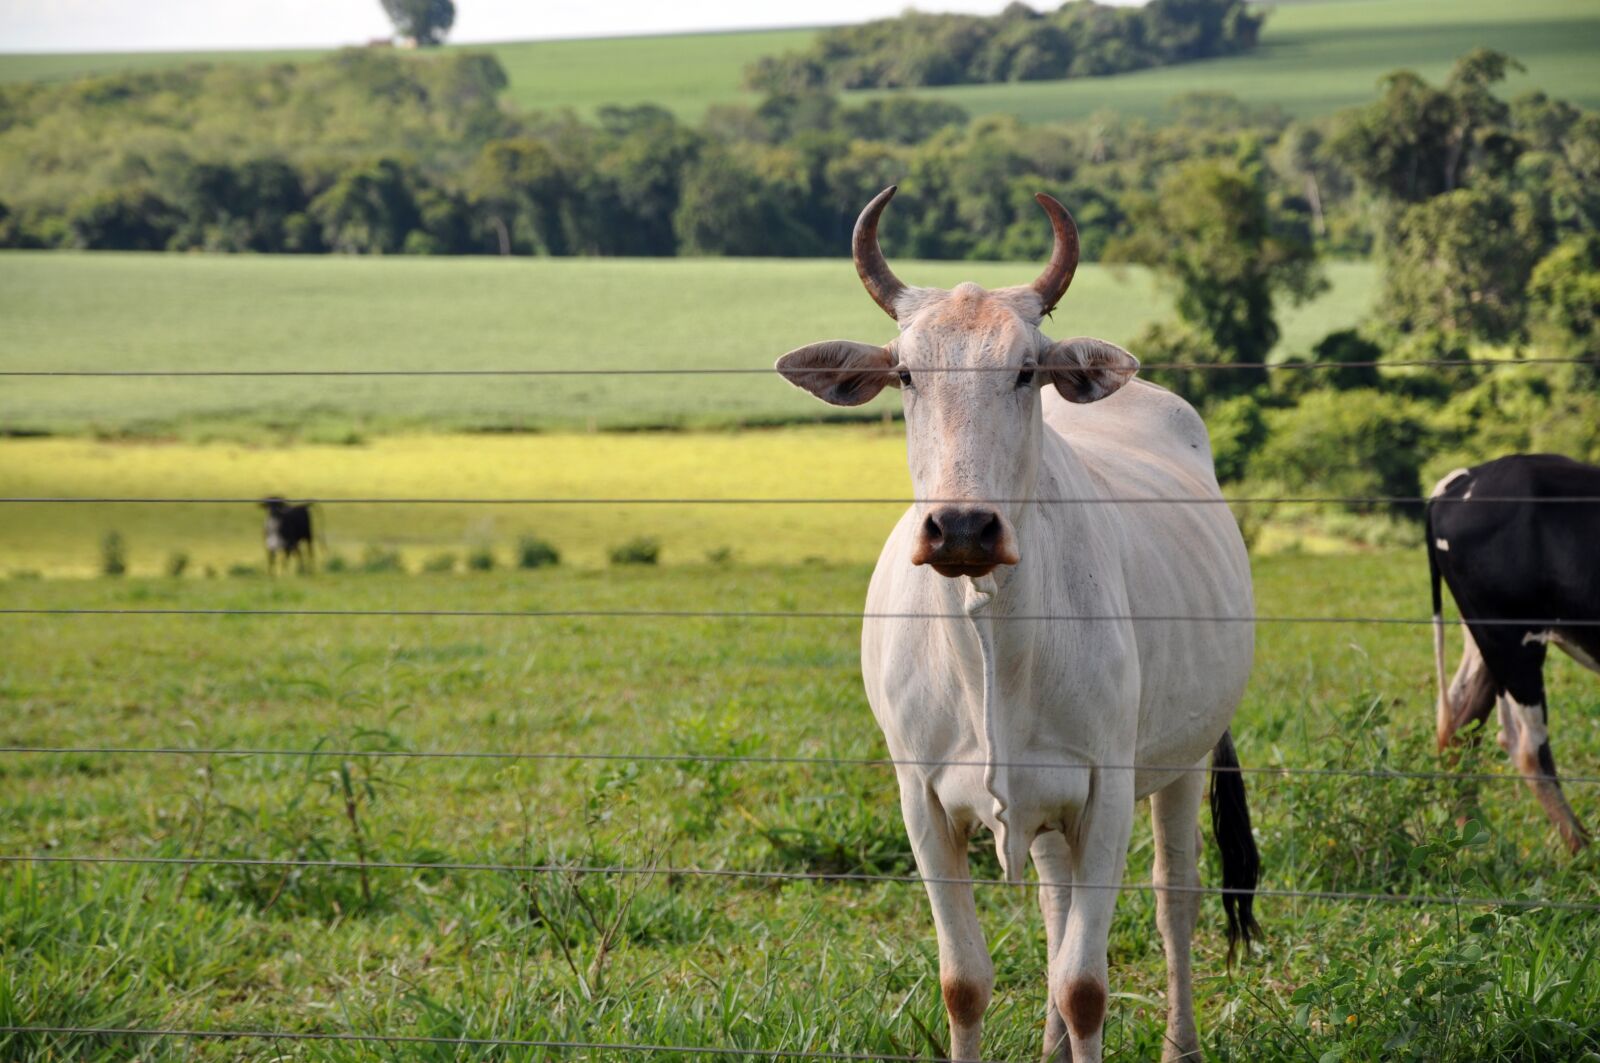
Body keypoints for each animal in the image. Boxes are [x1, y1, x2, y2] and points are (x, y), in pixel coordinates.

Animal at [776, 186, 1259, 1063]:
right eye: (905, 372)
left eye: (1027, 369)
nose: (963, 527)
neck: (989, 640)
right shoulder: (922, 800)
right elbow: (966, 980)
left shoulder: (1107, 789)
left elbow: (1086, 983)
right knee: (1056, 898)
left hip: (1183, 758)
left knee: (1175, 898)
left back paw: (1180, 1044)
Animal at [1428, 453, 1600, 854]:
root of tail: (1464, 478)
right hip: (1510, 639)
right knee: (1526, 746)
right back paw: (1584, 851)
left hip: (1484, 637)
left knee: (1459, 725)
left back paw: (1471, 843)